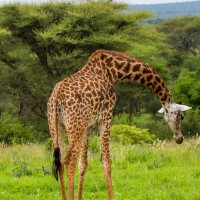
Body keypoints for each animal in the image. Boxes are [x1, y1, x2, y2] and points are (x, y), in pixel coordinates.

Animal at [47, 49, 191, 199]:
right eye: (181, 116)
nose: (179, 138)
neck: (113, 70)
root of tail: (57, 97)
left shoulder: (87, 125)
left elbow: (83, 164)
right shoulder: (107, 116)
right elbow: (106, 163)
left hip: (57, 126)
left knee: (60, 161)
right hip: (75, 126)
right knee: (69, 161)